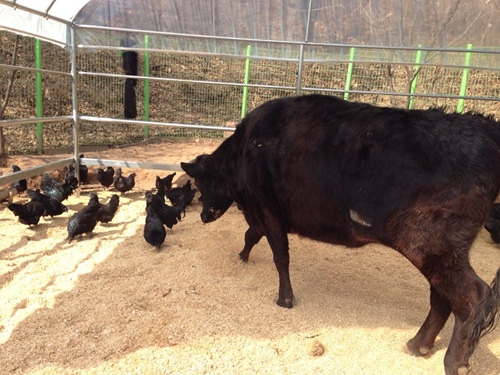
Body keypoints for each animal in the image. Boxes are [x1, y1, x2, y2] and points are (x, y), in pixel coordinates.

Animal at [180, 94, 500, 375]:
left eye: (201, 184)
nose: (203, 216)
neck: (245, 149)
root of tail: (483, 126)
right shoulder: (262, 214)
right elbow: (251, 236)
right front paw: (242, 256)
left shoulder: (267, 209)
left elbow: (280, 256)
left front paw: (285, 299)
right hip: (444, 252)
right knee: (442, 297)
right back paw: (418, 344)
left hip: (429, 245)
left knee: (471, 295)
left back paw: (454, 362)